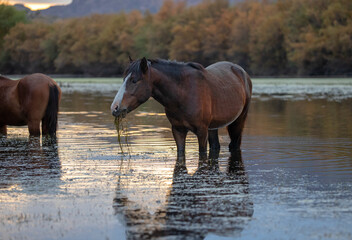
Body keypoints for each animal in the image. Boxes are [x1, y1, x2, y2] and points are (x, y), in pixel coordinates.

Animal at [111, 57, 252, 159]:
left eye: (134, 80)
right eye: (124, 79)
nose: (115, 108)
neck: (184, 93)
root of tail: (241, 71)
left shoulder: (202, 131)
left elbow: (202, 153)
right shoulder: (178, 130)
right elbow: (181, 153)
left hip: (238, 121)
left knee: (234, 144)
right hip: (213, 127)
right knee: (215, 146)